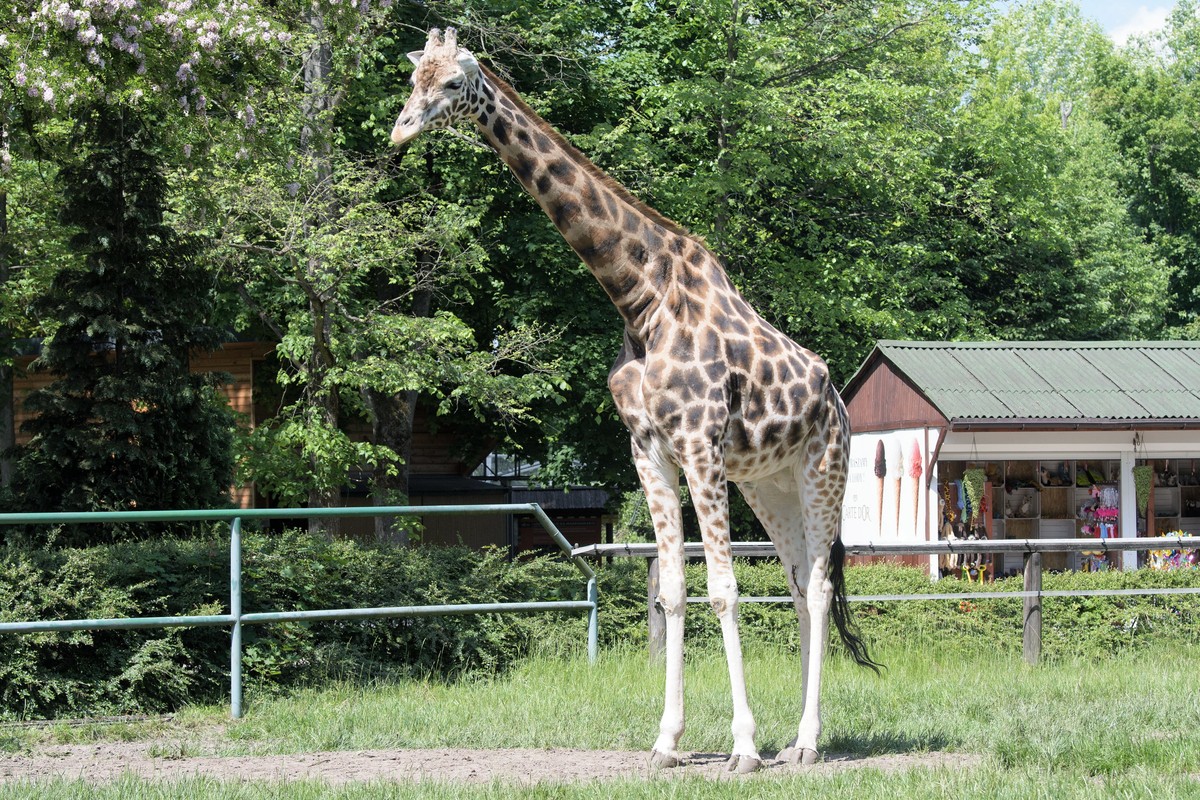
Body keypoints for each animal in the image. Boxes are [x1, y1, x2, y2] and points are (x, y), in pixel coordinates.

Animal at [391, 28, 879, 772]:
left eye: (451, 83)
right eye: (414, 77)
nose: (400, 131)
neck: (638, 297)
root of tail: (840, 403)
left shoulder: (700, 444)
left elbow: (723, 590)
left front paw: (742, 747)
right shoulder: (648, 449)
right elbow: (673, 592)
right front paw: (668, 742)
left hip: (824, 469)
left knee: (821, 586)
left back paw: (806, 742)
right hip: (771, 484)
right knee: (799, 584)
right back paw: (800, 738)